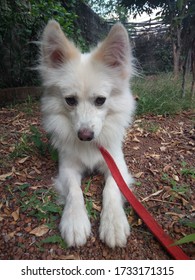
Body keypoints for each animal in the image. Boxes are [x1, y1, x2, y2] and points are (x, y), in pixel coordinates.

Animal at [39, 20, 136, 247]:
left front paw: (114, 223)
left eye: (100, 100)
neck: (90, 146)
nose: (85, 135)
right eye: (70, 100)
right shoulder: (67, 169)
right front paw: (75, 221)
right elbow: (75, 191)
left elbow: (111, 188)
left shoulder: (117, 165)